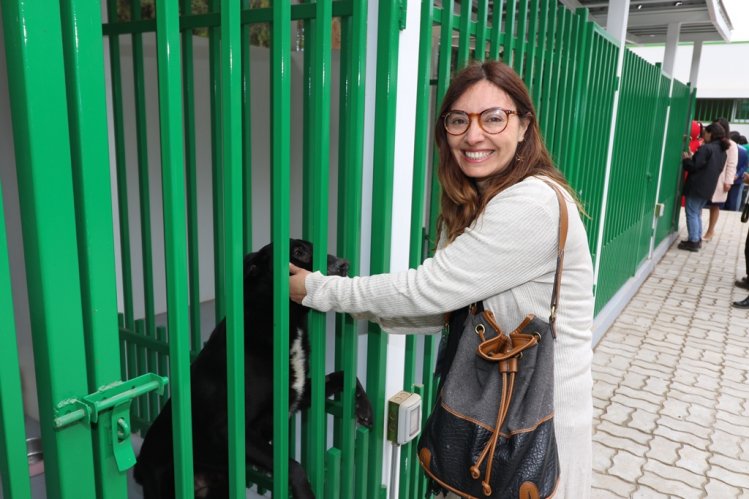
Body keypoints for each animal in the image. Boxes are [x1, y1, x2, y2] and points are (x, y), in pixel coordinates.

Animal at [134, 240, 374, 498]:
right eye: (298, 252)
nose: (344, 264)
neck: (275, 320)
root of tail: (139, 468)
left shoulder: (297, 393)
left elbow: (343, 375)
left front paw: (365, 409)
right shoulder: (230, 429)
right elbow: (294, 467)